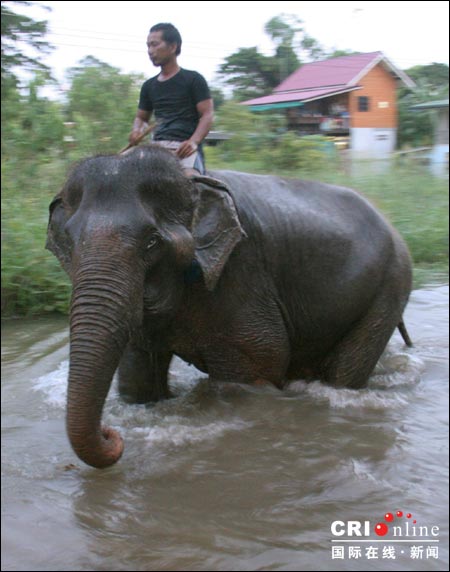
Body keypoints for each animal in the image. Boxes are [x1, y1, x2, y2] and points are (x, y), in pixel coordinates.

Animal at [46, 144, 412, 470]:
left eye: (151, 242)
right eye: (71, 242)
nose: (113, 435)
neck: (191, 183)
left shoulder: (241, 275)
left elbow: (254, 368)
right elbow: (137, 377)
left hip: (389, 286)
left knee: (343, 372)